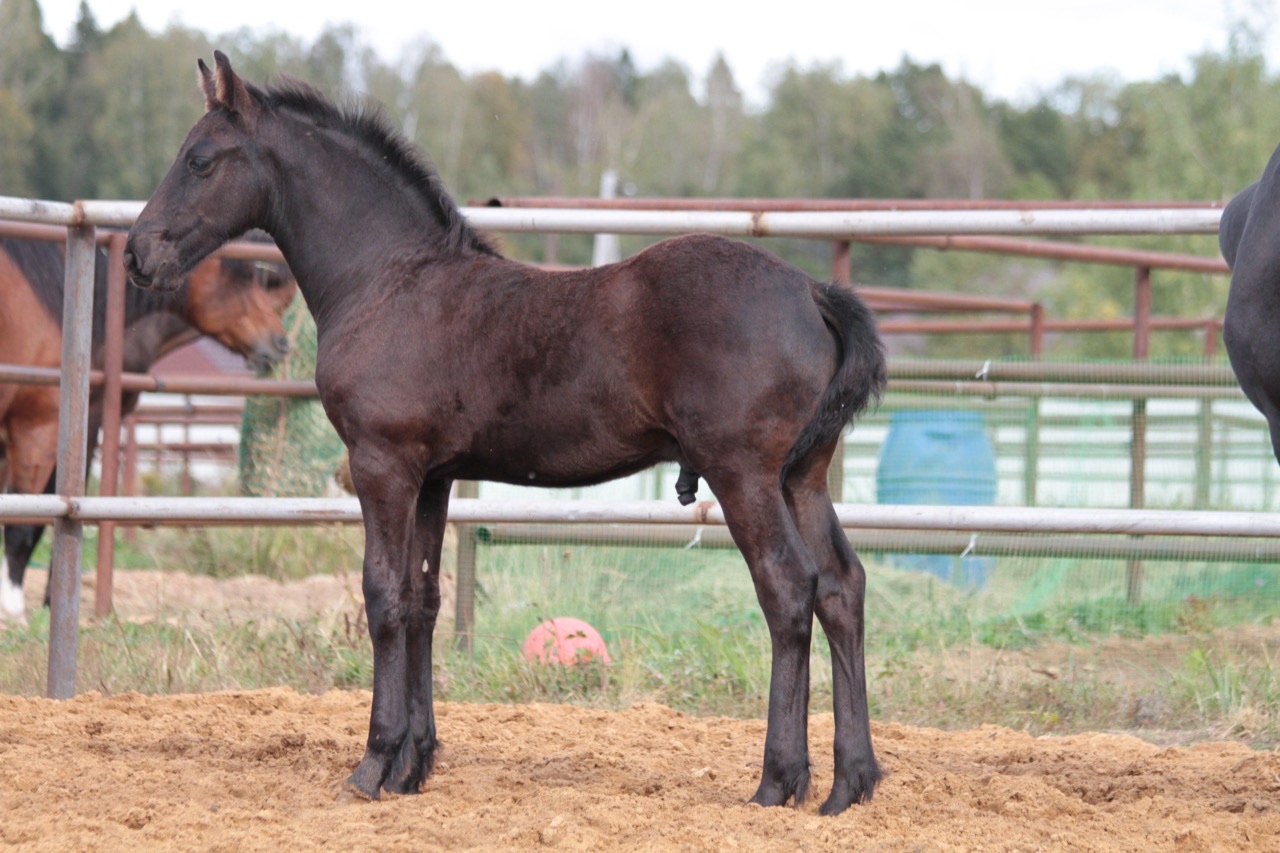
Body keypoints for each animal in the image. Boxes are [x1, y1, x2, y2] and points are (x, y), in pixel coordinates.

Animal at [124, 51, 886, 816]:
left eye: (199, 159)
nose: (137, 255)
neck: (388, 280)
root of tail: (810, 292)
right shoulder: (434, 476)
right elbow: (423, 600)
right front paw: (412, 766)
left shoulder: (382, 464)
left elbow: (382, 596)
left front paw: (373, 765)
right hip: (801, 478)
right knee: (841, 586)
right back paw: (850, 782)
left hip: (743, 475)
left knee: (787, 589)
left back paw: (778, 781)